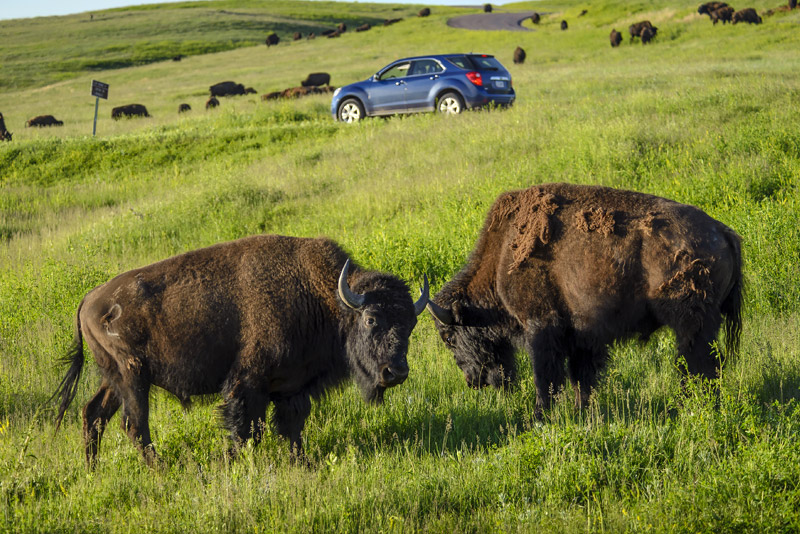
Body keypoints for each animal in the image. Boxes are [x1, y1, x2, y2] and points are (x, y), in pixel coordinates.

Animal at [52, 236, 428, 468]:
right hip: (133, 377)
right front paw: (234, 462)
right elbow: (246, 429)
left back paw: (93, 470)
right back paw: (161, 470)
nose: (395, 372)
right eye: (371, 318)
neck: (323, 297)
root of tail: (89, 299)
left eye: (411, 324)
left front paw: (301, 462)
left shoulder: (292, 387)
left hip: (114, 379)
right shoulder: (247, 384)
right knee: (134, 424)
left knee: (93, 414)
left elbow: (291, 426)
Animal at [424, 184, 744, 418]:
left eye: (449, 338)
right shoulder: (583, 338)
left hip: (691, 325)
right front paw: (581, 413)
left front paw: (539, 418)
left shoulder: (541, 328)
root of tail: (723, 232)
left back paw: (692, 407)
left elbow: (547, 379)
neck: (503, 255)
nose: (472, 381)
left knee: (698, 364)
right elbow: (581, 379)